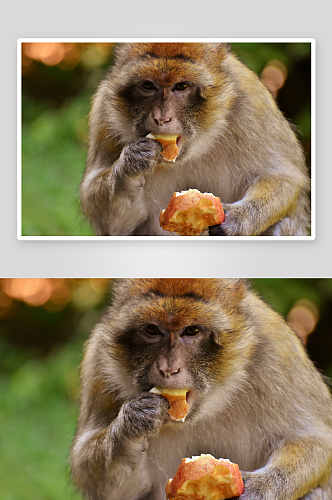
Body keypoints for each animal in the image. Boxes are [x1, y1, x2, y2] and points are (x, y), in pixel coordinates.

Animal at [70, 280, 332, 498]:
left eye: (192, 331)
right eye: (152, 330)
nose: (168, 368)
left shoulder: (278, 349)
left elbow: (315, 442)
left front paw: (259, 488)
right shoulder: (98, 361)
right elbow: (103, 484)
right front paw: (131, 423)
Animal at [80, 42, 312, 236]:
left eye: (181, 86)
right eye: (148, 85)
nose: (161, 117)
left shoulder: (253, 100)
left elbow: (284, 178)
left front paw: (237, 219)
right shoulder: (103, 112)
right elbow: (112, 224)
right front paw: (131, 163)